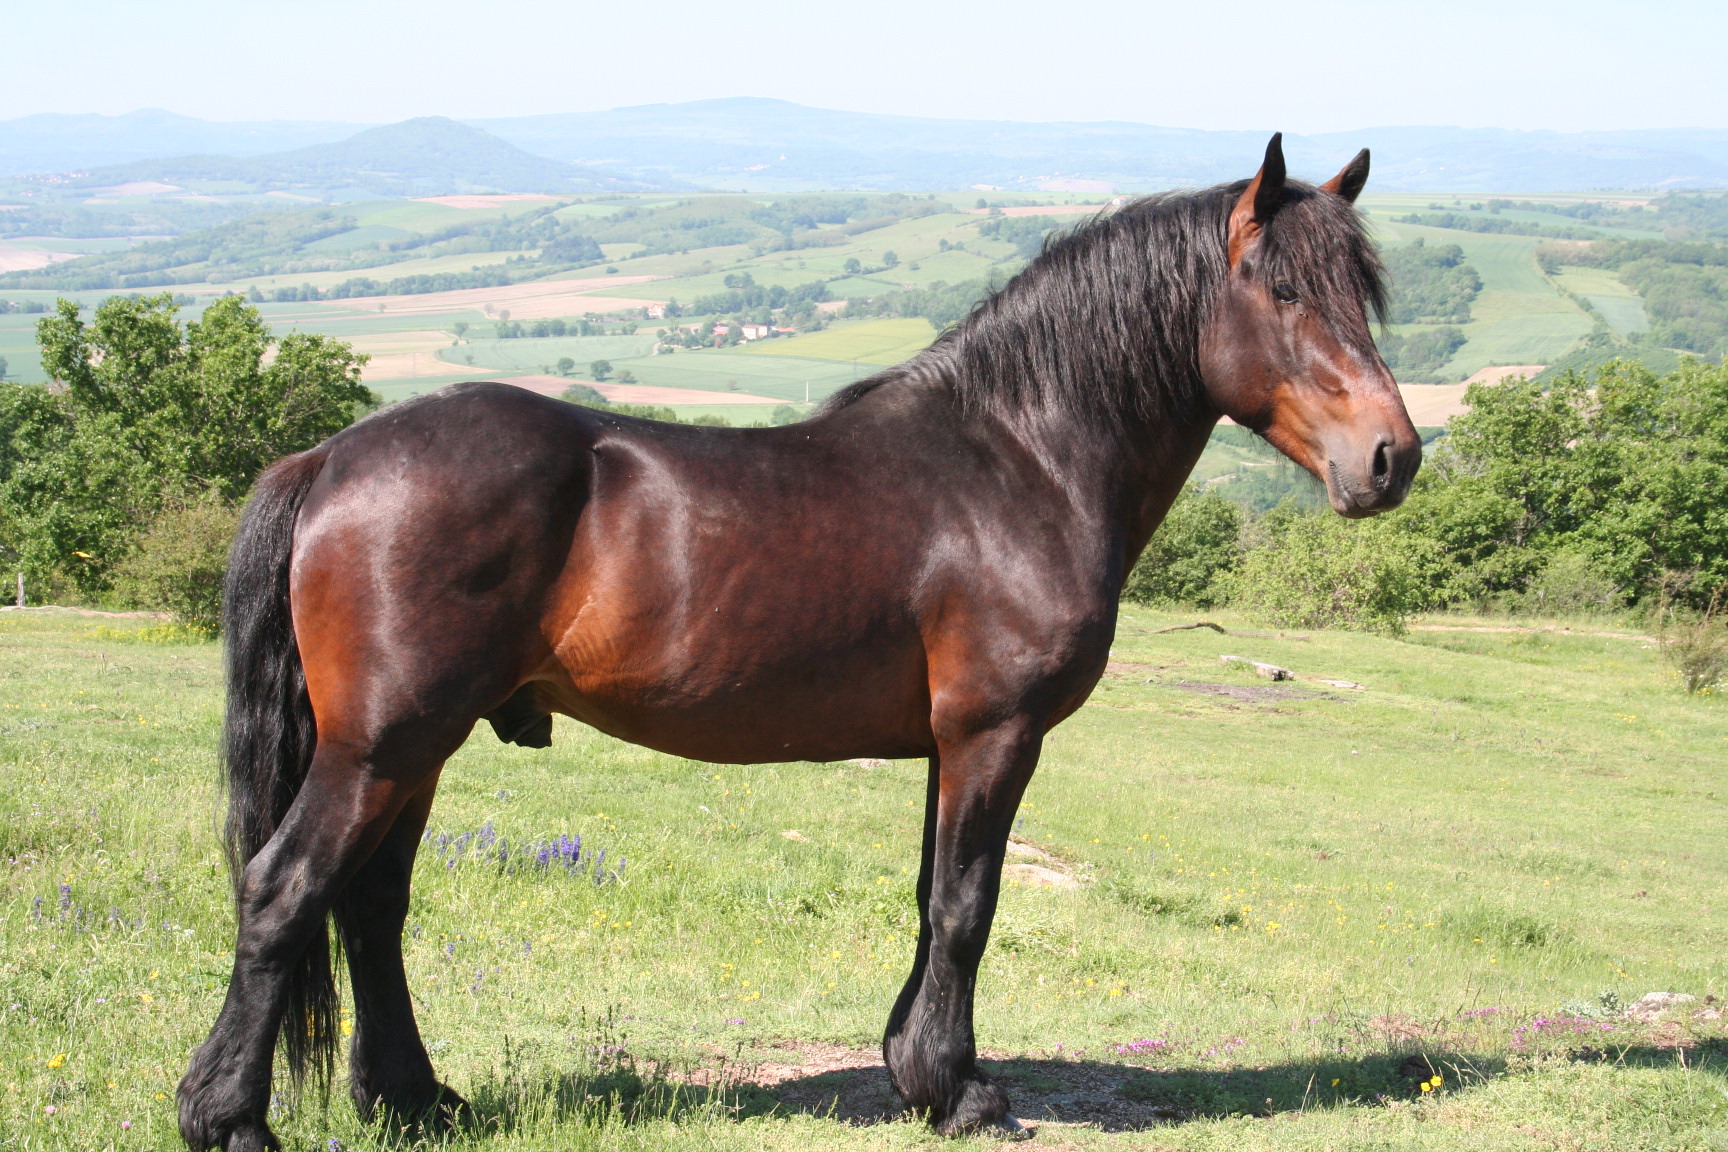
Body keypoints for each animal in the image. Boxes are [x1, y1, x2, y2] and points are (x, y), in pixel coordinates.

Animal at [178, 137, 1416, 1152]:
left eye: (1364, 292)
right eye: (1286, 289)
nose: (1393, 458)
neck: (1016, 460)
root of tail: (331, 458)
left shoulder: (944, 743)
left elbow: (930, 896)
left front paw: (915, 1072)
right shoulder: (995, 733)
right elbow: (968, 905)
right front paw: (961, 1095)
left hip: (413, 747)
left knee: (371, 904)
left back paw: (415, 1101)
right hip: (382, 745)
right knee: (286, 889)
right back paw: (230, 1119)